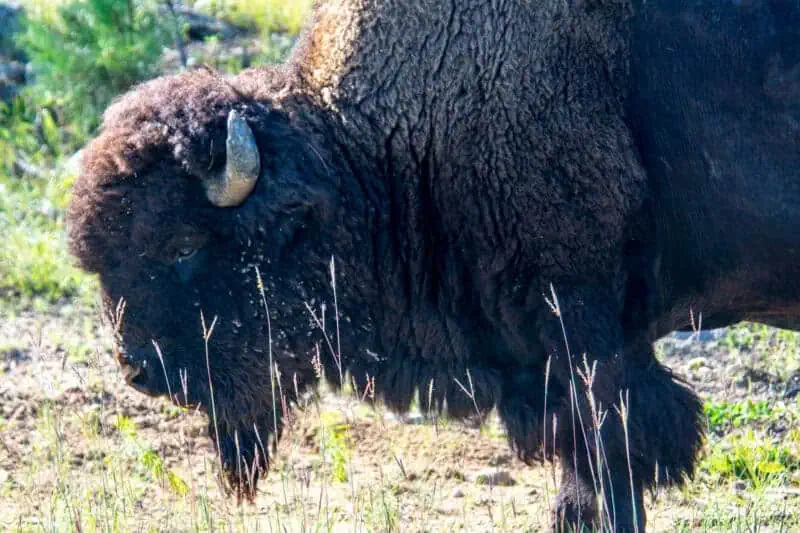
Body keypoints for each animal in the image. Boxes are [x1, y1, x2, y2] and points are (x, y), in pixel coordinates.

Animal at [66, 1, 800, 531]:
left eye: (185, 244)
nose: (138, 369)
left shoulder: (588, 327)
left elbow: (611, 460)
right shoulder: (547, 359)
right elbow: (580, 476)